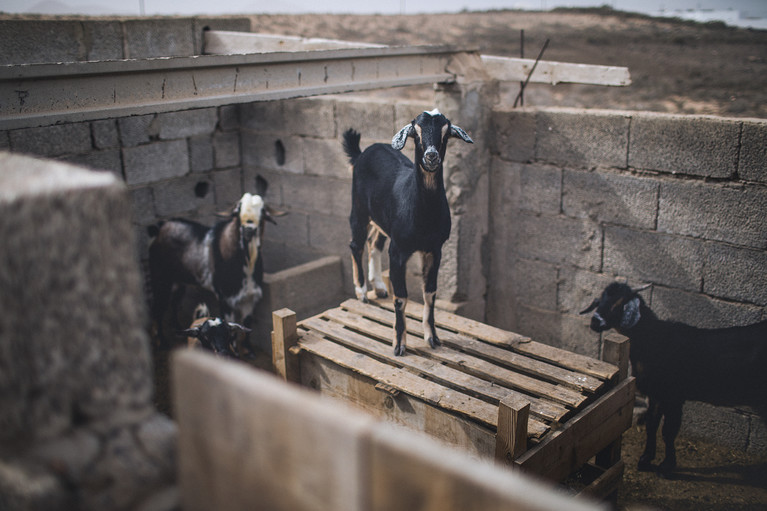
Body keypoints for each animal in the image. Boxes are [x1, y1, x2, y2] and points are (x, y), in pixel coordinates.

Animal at [344, 109, 474, 356]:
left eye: (446, 133)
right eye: (416, 132)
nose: (431, 157)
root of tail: (362, 152)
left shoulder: (434, 249)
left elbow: (430, 293)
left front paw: (432, 338)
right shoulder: (399, 251)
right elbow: (401, 298)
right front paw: (399, 345)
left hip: (382, 219)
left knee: (374, 243)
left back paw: (379, 287)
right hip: (359, 207)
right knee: (356, 244)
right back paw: (362, 291)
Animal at [584, 282, 767, 478]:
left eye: (619, 303)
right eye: (601, 299)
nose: (595, 322)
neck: (652, 340)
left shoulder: (673, 395)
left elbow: (668, 431)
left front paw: (666, 466)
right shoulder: (656, 394)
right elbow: (652, 424)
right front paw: (646, 459)